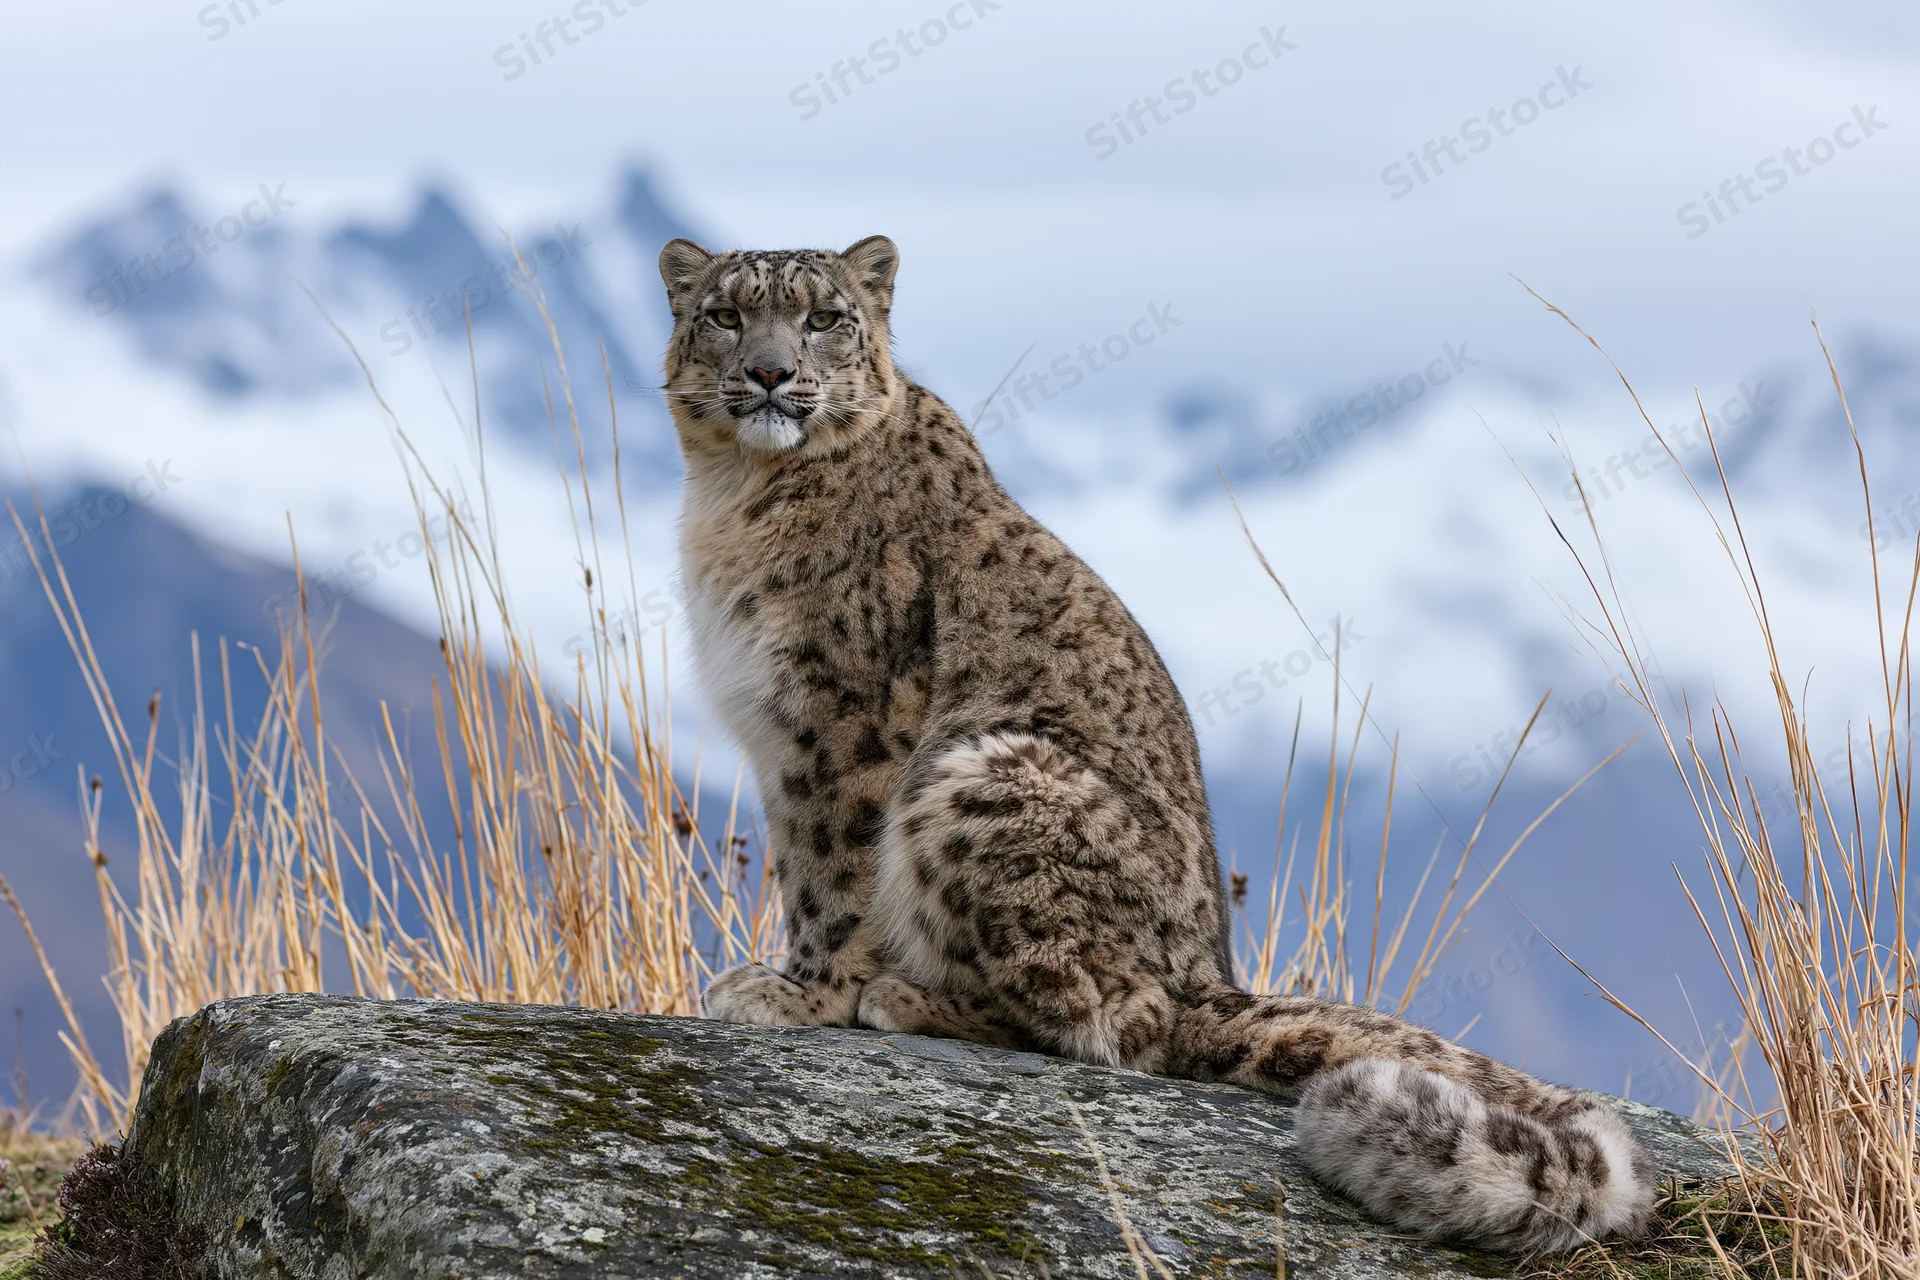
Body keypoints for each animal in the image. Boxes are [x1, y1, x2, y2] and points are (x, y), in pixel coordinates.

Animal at [657, 233, 1655, 1255]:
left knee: (1110, 1026)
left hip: (983, 774)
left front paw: (802, 998)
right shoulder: (778, 744)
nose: (770, 373)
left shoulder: (846, 719)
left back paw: (908, 999)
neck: (732, 497)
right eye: (726, 315)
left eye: (823, 317)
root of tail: (1206, 974)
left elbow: (836, 877)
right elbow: (799, 866)